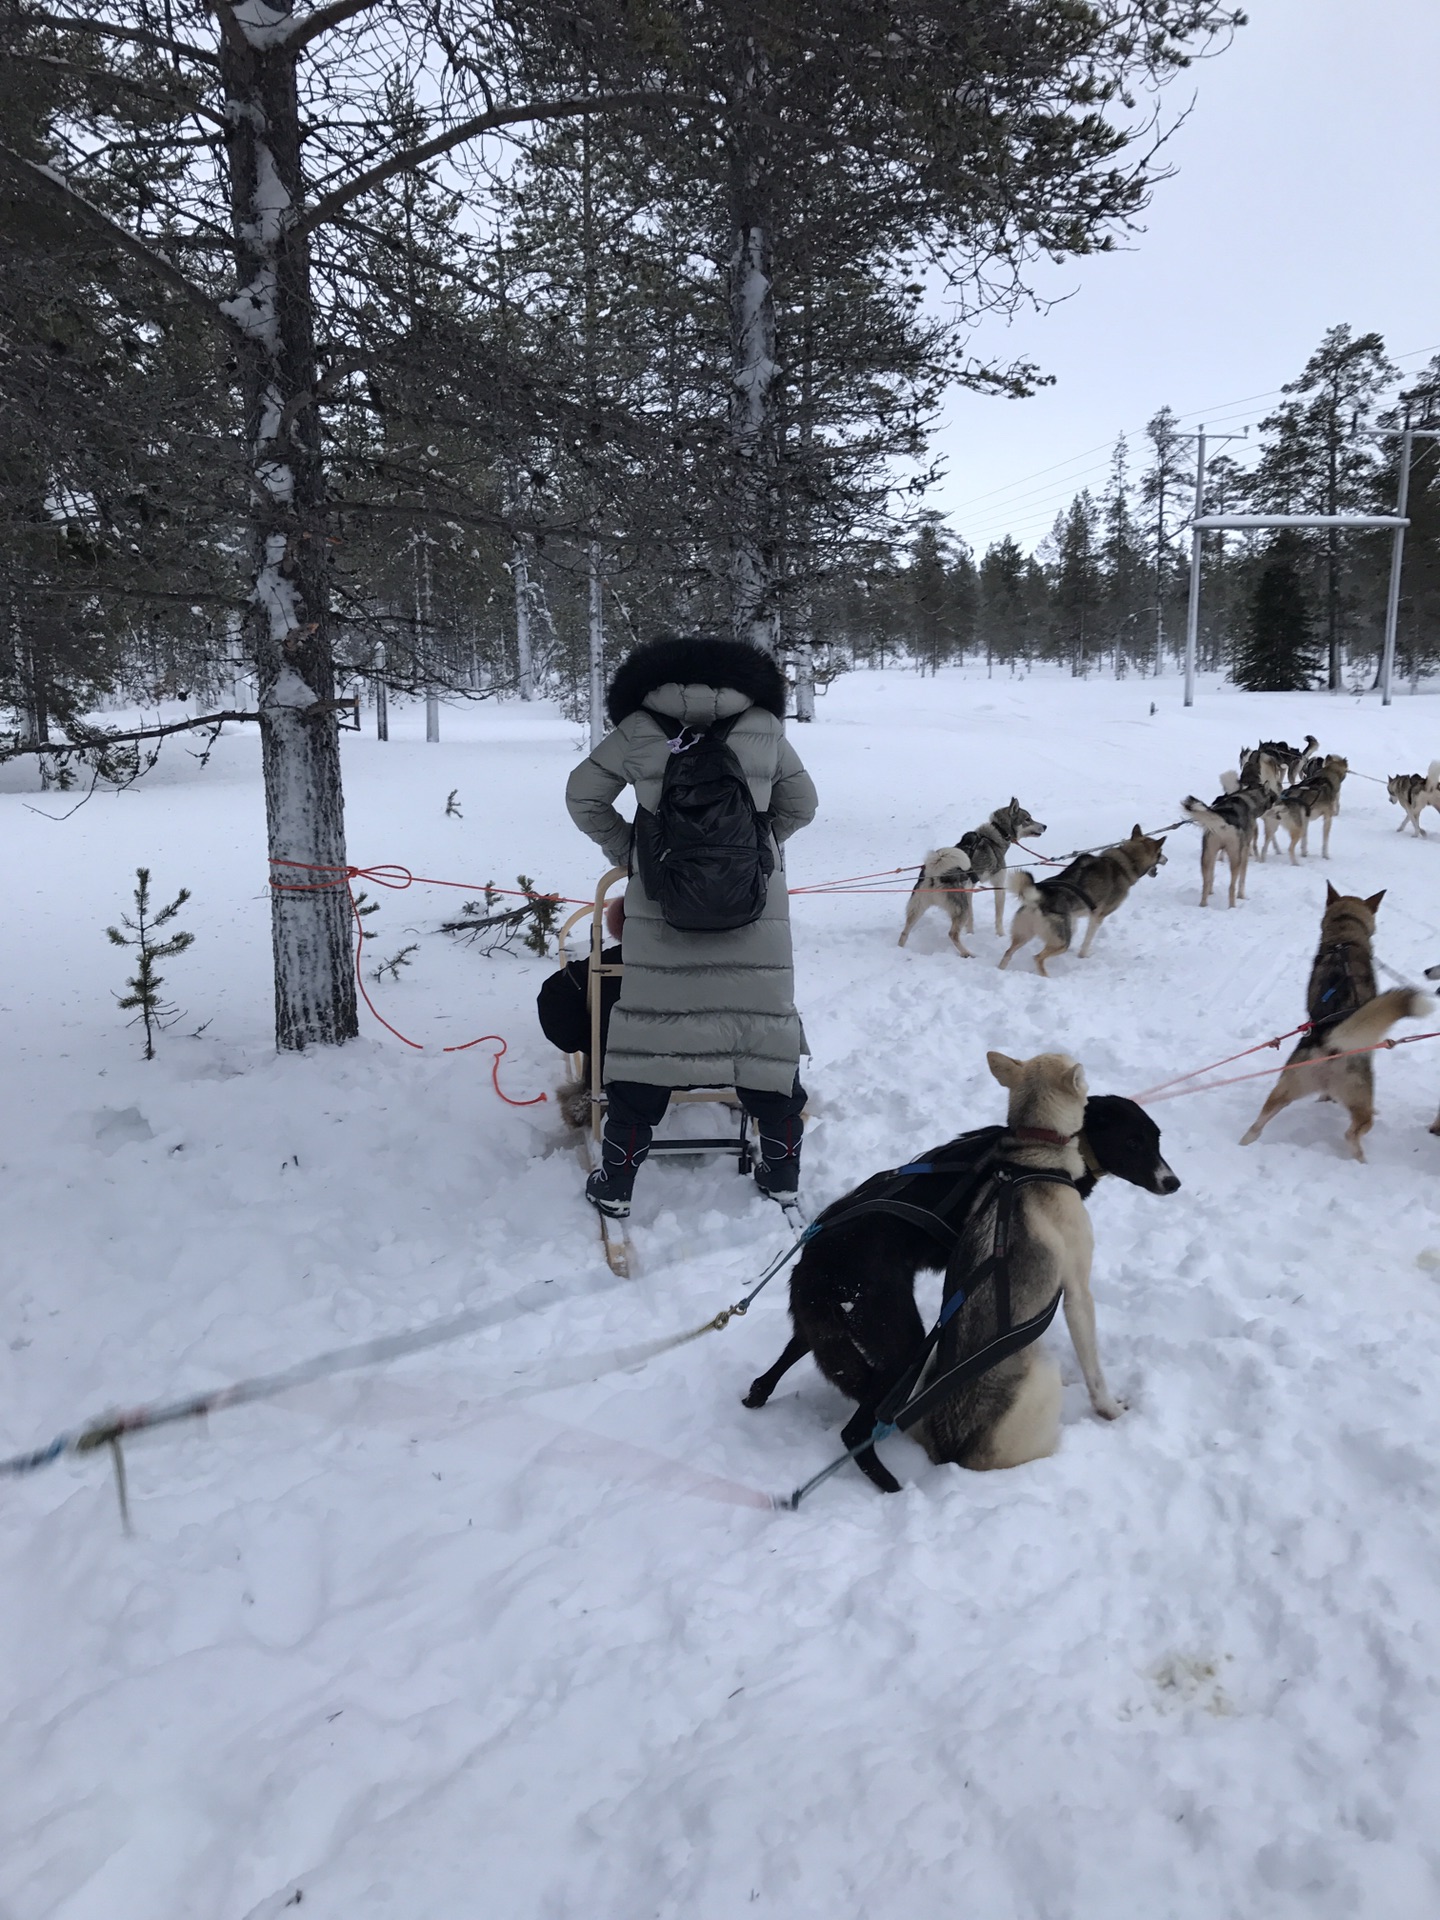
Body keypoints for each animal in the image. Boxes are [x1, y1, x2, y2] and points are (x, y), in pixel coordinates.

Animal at [744, 1105, 1182, 1489]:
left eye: (1157, 1139)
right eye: (1133, 1142)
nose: (1173, 1183)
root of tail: (817, 1260)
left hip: (833, 1331)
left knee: (788, 1357)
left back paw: (757, 1395)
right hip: (901, 1345)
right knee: (855, 1432)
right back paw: (892, 1485)